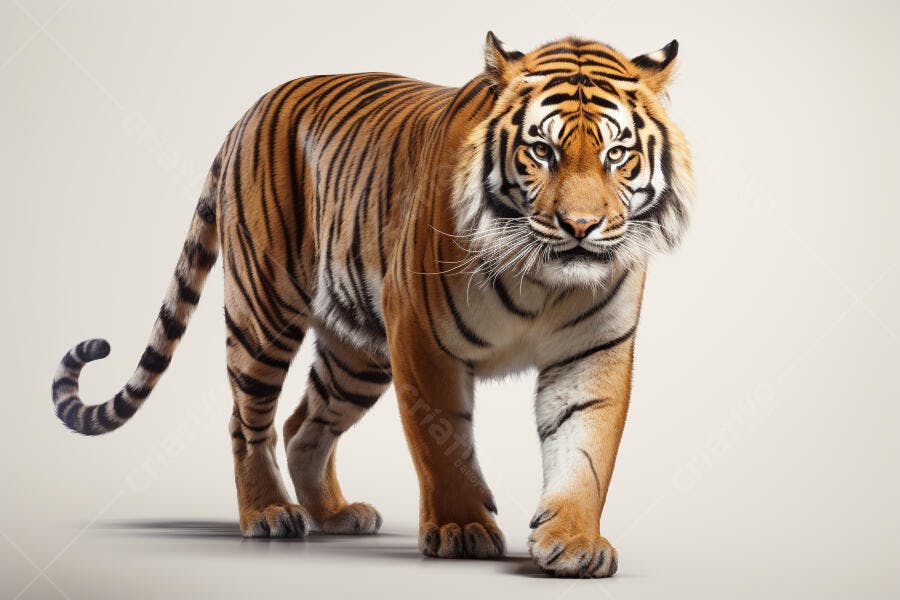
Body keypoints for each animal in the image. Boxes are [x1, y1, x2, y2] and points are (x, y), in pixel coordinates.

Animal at [51, 32, 692, 577]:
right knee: (248, 420)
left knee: (302, 425)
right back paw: (267, 514)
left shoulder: (594, 349)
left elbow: (586, 448)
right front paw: (461, 528)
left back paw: (334, 515)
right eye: (541, 150)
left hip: (357, 354)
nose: (580, 227)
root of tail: (249, 111)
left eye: (616, 154)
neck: (544, 279)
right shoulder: (423, 339)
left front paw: (576, 542)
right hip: (263, 313)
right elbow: (442, 442)